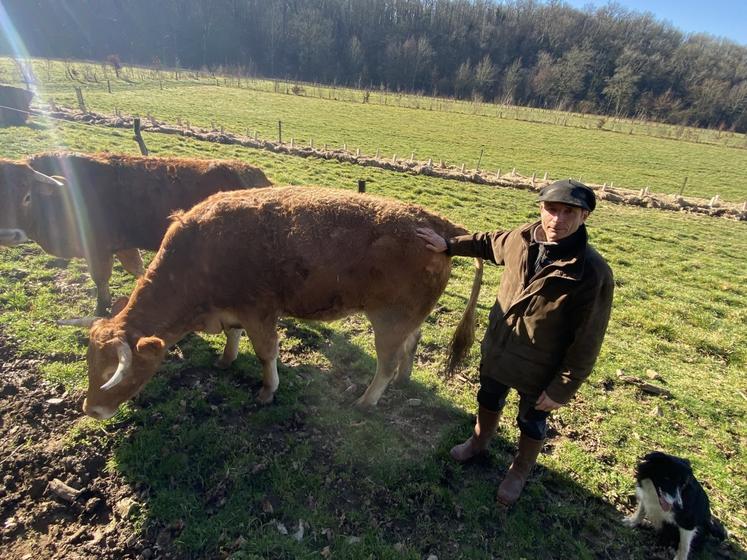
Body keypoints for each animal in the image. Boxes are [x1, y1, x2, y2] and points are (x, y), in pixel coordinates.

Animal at [0, 152, 272, 316]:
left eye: (27, 196)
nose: (8, 234)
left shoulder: (98, 249)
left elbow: (100, 278)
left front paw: (101, 310)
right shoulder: (123, 245)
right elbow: (137, 269)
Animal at [80, 186, 480, 418]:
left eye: (115, 372)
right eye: (90, 365)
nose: (91, 408)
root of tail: (436, 224)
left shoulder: (259, 311)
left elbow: (265, 352)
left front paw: (267, 390)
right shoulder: (234, 310)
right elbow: (233, 337)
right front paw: (226, 360)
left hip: (389, 322)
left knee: (387, 361)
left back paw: (368, 400)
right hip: (407, 319)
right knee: (412, 344)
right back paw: (405, 378)